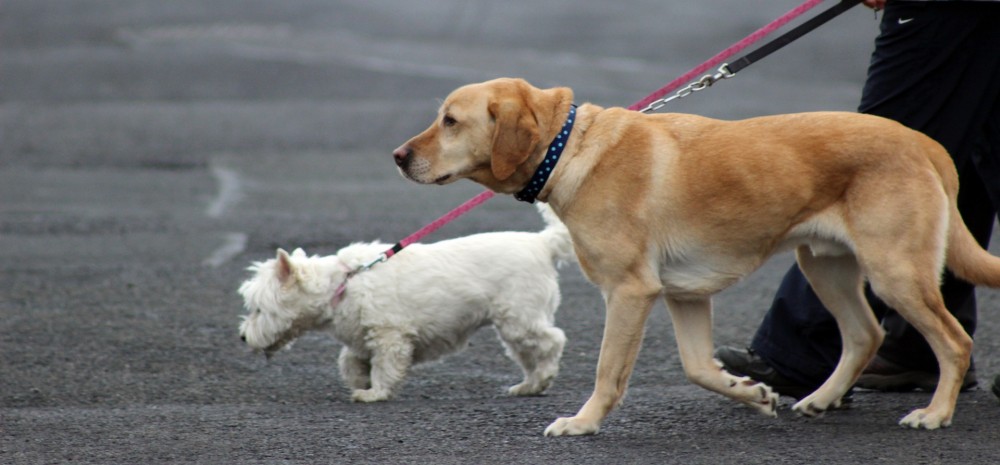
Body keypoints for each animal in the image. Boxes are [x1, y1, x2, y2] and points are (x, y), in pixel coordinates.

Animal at [237, 205, 576, 400]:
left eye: (258, 309)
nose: (241, 337)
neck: (343, 284)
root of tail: (542, 243)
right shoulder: (362, 337)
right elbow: (349, 361)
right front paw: (360, 382)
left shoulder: (390, 335)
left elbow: (385, 367)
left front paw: (374, 393)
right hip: (514, 327)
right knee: (530, 354)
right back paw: (530, 386)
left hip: (519, 319)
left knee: (554, 341)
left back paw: (543, 377)